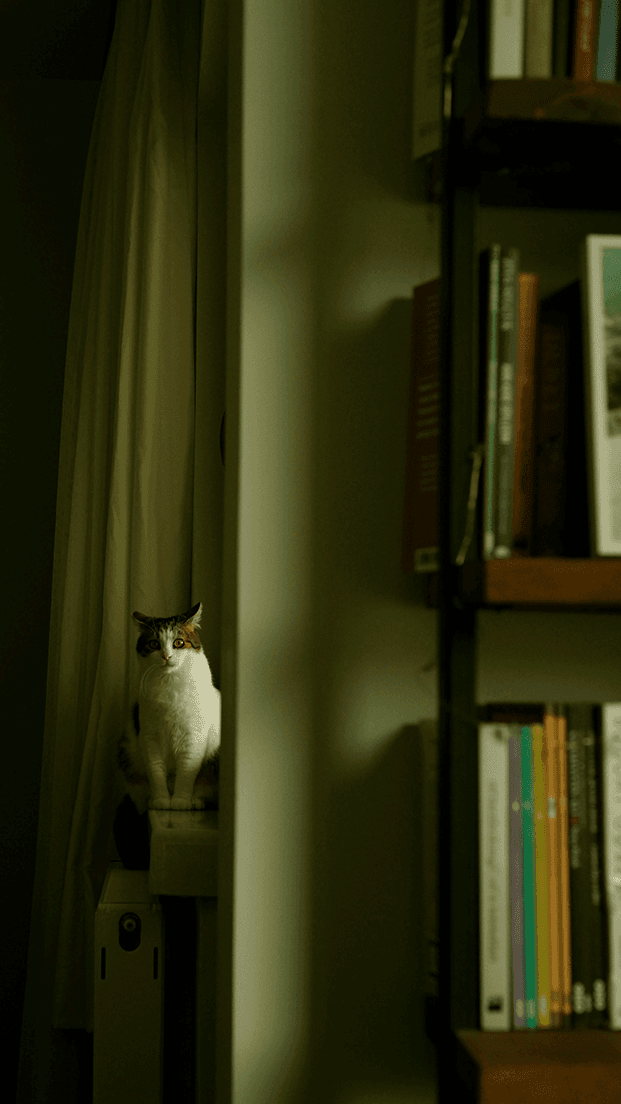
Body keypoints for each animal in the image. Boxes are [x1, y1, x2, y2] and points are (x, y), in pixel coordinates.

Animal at [117, 604, 219, 812]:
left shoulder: (193, 737)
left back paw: (195, 801)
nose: (166, 656)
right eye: (154, 644)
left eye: (178, 642)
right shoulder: (149, 736)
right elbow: (155, 772)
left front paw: (180, 801)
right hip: (128, 753)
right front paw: (161, 800)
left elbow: (187, 772)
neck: (169, 683)